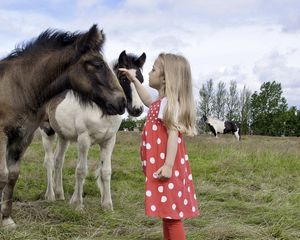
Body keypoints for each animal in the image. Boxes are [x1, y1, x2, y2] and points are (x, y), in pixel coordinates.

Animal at [0, 24, 125, 229]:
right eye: (97, 64)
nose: (122, 102)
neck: (17, 88)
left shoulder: (22, 138)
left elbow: (12, 175)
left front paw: (6, 219)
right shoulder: (2, 135)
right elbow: (3, 174)